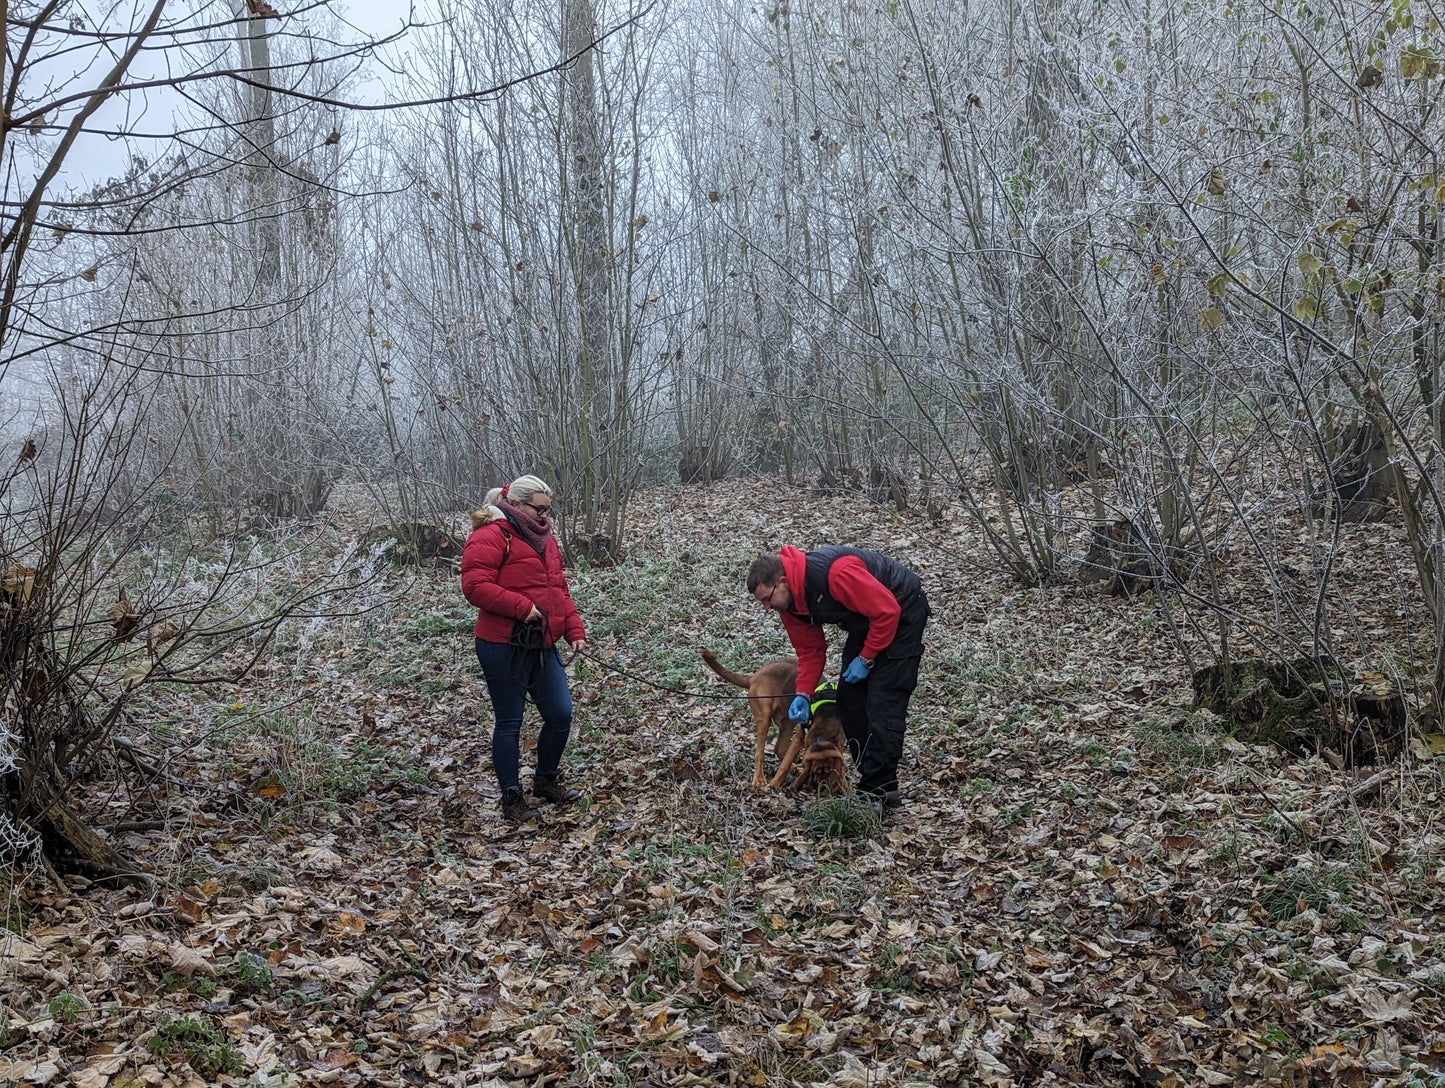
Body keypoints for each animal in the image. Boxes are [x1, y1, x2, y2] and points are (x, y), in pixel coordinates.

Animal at [705, 650, 809, 786]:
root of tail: (754, 677)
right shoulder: (800, 737)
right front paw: (774, 785)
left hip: (787, 721)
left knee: (779, 749)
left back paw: (797, 770)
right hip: (764, 717)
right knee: (760, 753)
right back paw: (759, 779)